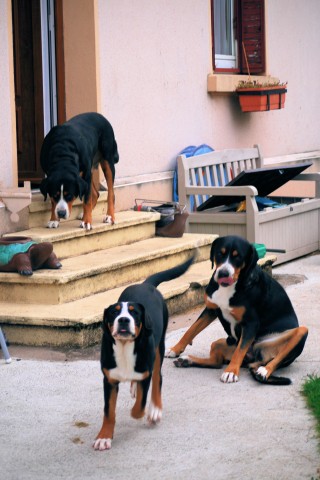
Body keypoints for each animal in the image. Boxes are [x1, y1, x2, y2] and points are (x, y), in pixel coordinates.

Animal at [93, 253, 195, 452]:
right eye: (114, 313)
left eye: (134, 313)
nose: (123, 320)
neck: (125, 347)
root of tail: (145, 284)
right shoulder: (109, 379)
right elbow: (108, 411)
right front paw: (104, 437)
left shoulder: (145, 373)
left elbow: (139, 405)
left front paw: (145, 413)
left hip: (159, 347)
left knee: (158, 378)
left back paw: (155, 409)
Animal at [165, 234, 308, 384]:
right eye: (219, 253)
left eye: (238, 257)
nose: (223, 273)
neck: (231, 286)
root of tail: (253, 358)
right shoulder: (210, 310)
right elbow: (191, 330)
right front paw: (175, 349)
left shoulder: (250, 323)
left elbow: (239, 351)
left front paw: (231, 372)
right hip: (221, 342)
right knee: (216, 362)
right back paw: (187, 360)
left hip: (301, 332)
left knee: (275, 360)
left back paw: (264, 371)